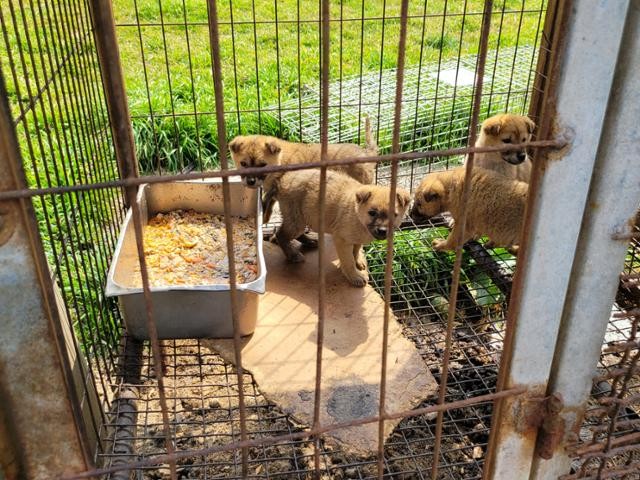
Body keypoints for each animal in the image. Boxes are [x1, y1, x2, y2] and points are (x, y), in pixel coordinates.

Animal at [274, 169, 411, 287]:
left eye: (394, 215)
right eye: (372, 213)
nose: (382, 231)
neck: (356, 213)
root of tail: (284, 177)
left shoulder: (356, 238)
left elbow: (356, 250)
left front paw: (358, 261)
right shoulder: (342, 240)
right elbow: (348, 261)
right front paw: (355, 276)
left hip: (300, 218)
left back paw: (309, 241)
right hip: (297, 221)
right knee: (279, 234)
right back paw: (293, 255)